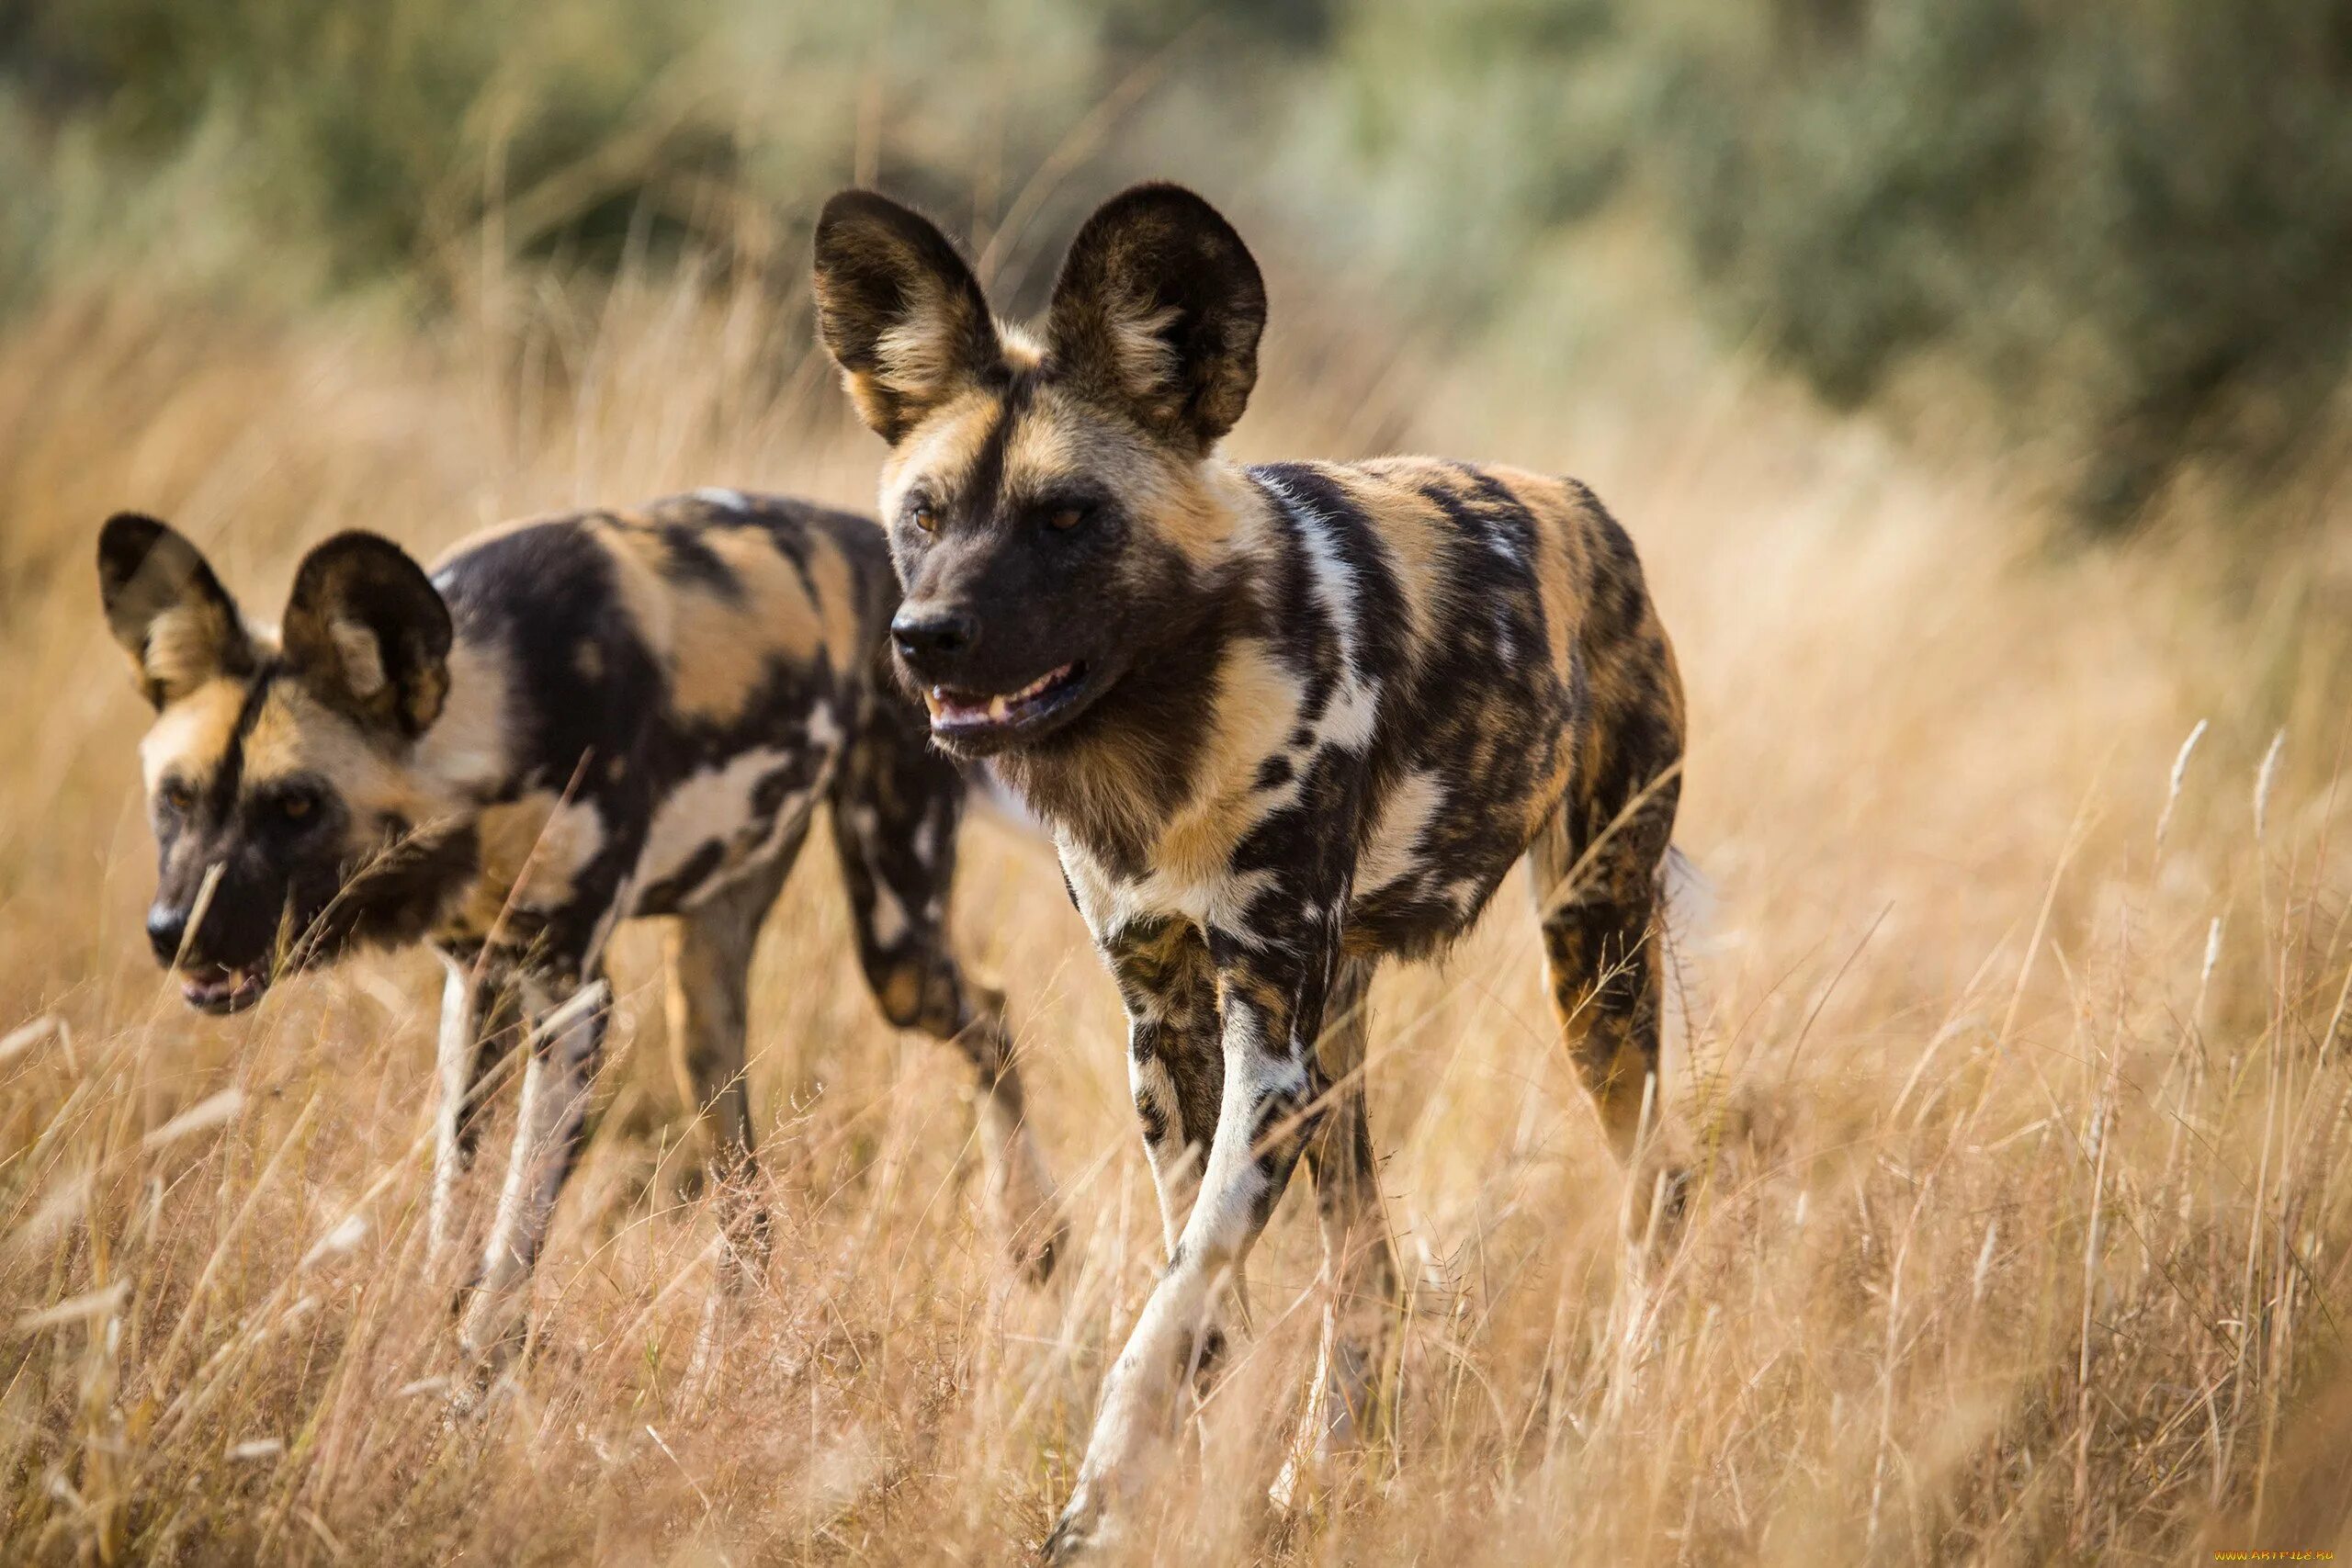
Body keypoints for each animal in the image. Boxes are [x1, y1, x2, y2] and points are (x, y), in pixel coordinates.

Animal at [98, 493, 1058, 1372]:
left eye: (297, 805)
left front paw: (467, 1396)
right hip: (703, 1007)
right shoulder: (479, 989)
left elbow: (510, 1246)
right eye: (177, 798)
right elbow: (454, 1217)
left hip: (896, 946)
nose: (173, 933)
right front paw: (417, 1355)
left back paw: (1035, 1236)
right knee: (747, 1210)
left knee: (993, 1015)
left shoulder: (573, 1007)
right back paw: (714, 1375)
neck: (500, 715)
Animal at [813, 186, 1693, 1561]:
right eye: (926, 513)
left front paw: (1102, 1499)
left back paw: (1625, 1417)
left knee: (1656, 1193)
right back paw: (1318, 1477)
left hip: (1588, 957)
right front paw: (1168, 1472)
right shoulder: (1168, 1024)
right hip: (1344, 1045)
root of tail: (1581, 503)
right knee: (1367, 1261)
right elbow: (1196, 1288)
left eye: (1068, 517)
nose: (925, 639)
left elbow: (1173, 1300)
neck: (1157, 741)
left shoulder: (1261, 1043)